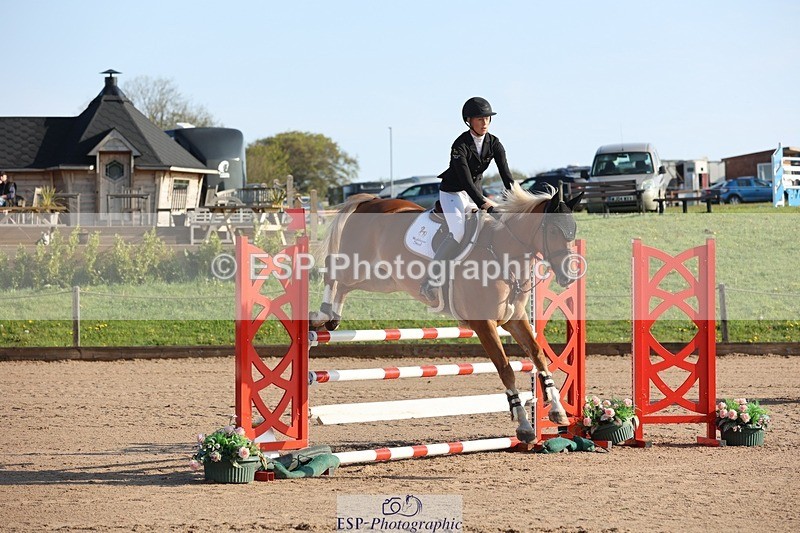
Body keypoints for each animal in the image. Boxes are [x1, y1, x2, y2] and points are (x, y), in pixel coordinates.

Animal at [309, 182, 583, 442]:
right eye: (553, 231)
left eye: (573, 231)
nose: (570, 276)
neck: (503, 254)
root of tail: (371, 201)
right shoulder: (484, 324)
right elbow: (505, 368)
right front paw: (525, 426)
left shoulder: (515, 320)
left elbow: (538, 355)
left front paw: (558, 411)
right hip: (359, 265)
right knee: (332, 272)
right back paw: (320, 317)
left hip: (381, 278)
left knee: (344, 286)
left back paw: (332, 319)